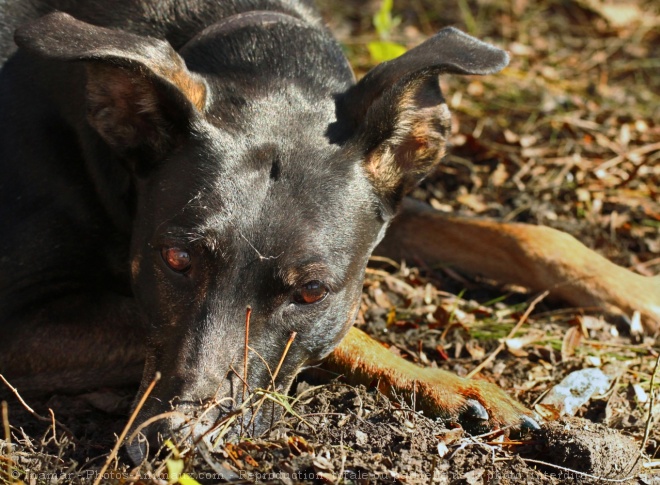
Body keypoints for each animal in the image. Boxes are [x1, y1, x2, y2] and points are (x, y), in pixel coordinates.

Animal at [1, 0, 540, 460]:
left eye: (312, 291)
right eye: (176, 259)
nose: (173, 443)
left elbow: (528, 235)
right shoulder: (20, 324)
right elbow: (352, 335)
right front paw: (450, 383)